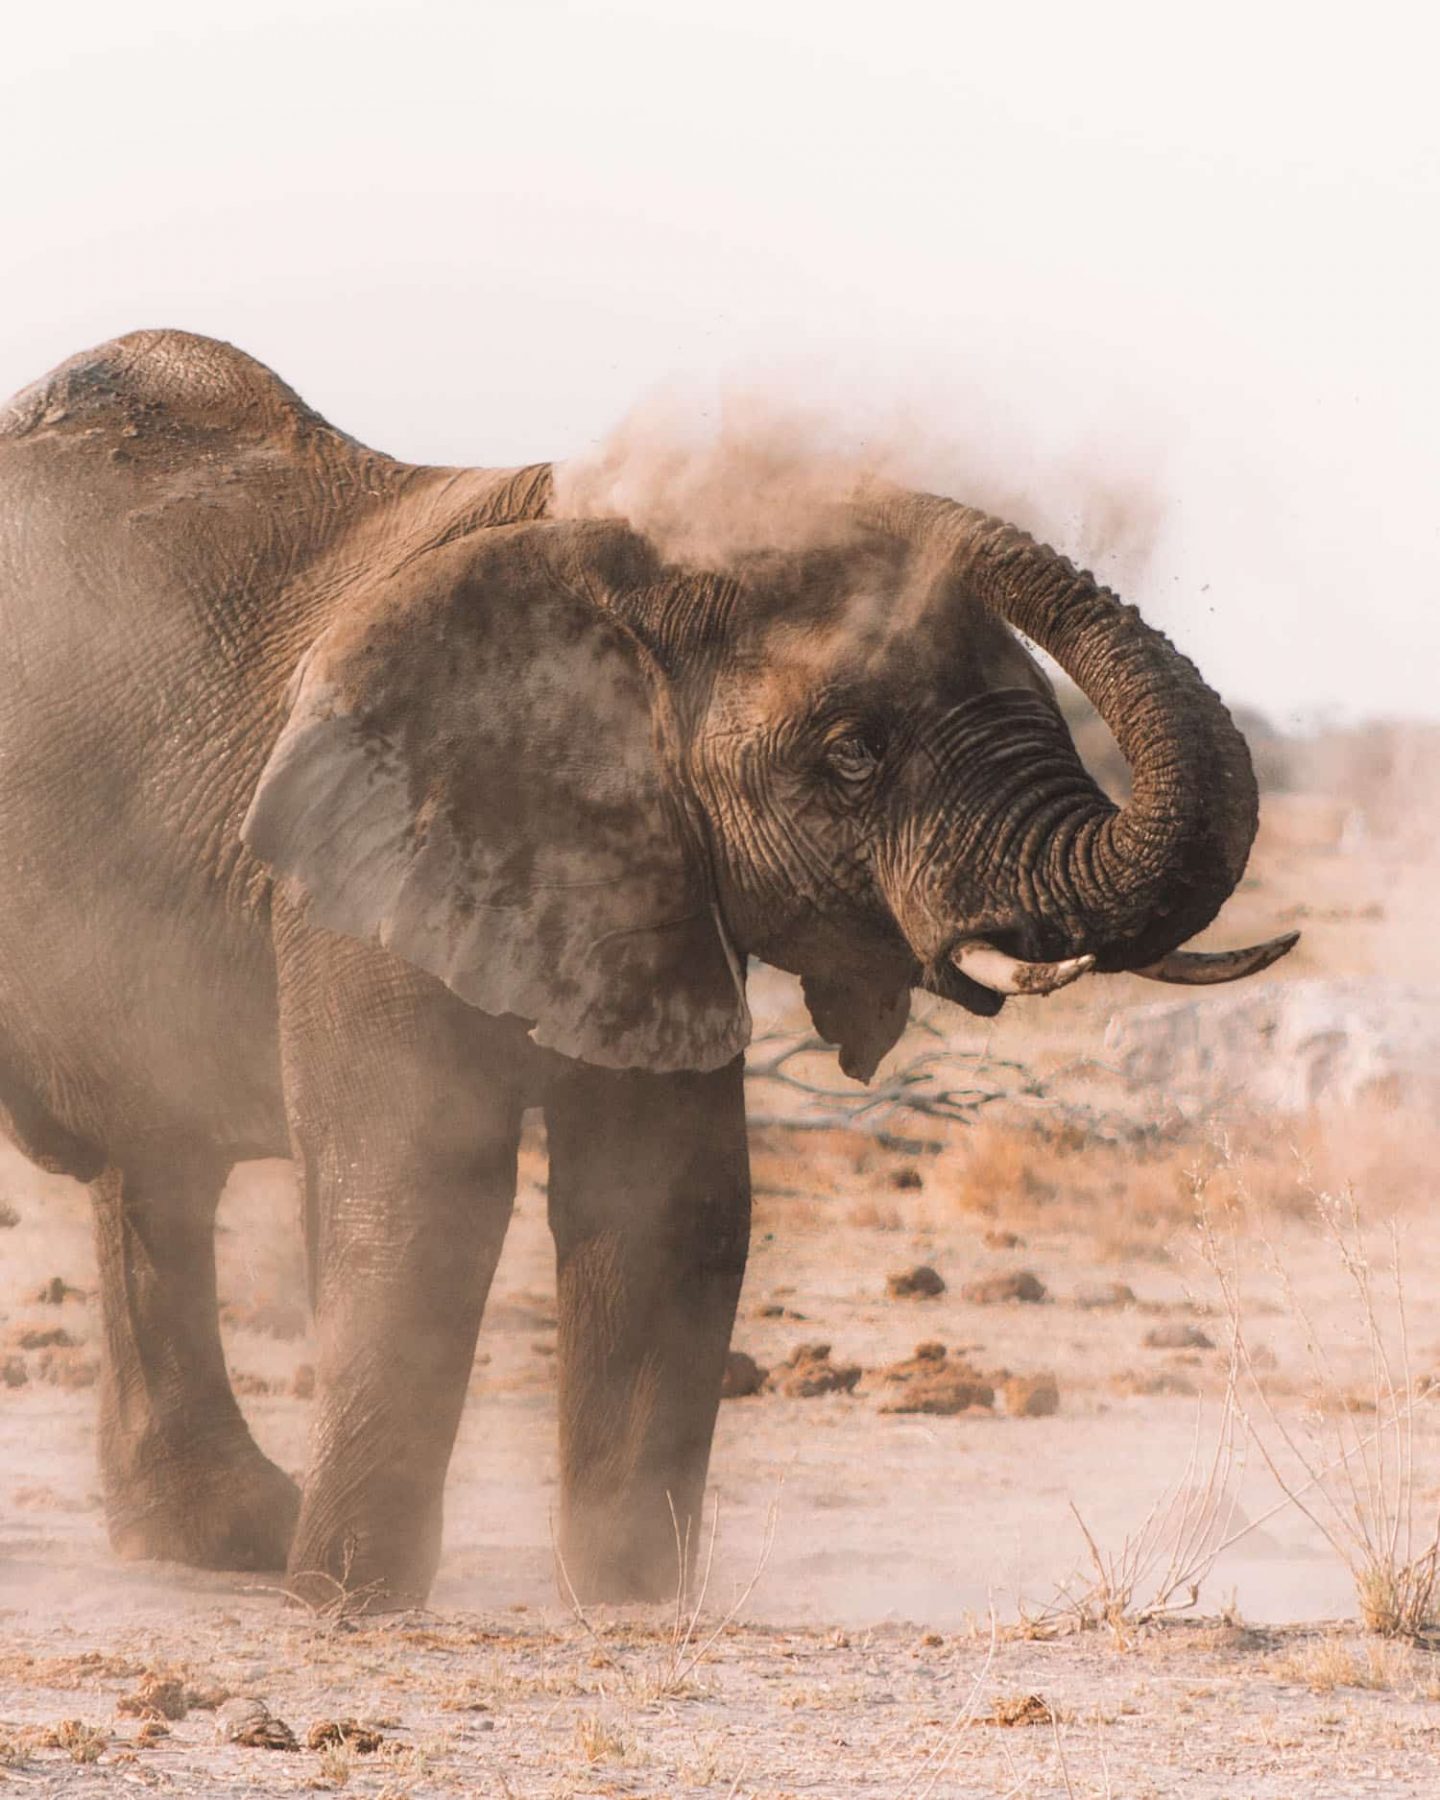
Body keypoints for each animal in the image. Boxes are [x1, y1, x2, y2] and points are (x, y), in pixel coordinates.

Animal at [0, 334, 1296, 1605]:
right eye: (852, 756)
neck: (610, 574)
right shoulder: (356, 856)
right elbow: (419, 1183)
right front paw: (348, 1605)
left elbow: (669, 1197)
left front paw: (630, 1601)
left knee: (155, 1174)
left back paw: (221, 1543)